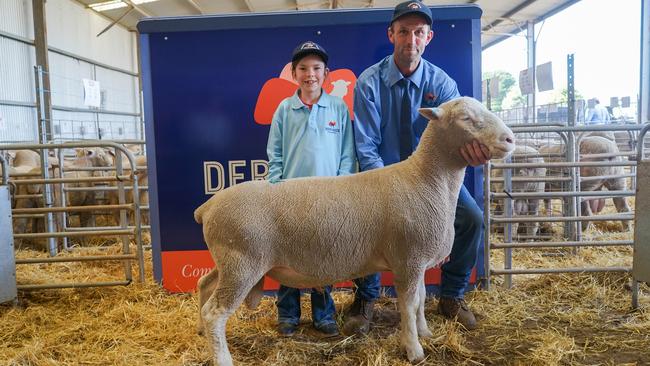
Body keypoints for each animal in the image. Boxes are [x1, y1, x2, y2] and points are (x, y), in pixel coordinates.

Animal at [192, 96, 512, 364]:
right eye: (467, 118)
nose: (510, 139)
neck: (425, 180)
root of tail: (207, 207)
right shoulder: (407, 260)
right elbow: (409, 306)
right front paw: (414, 349)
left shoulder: (416, 260)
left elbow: (421, 299)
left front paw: (425, 333)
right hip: (242, 263)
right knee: (215, 313)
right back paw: (222, 357)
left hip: (228, 260)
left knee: (204, 285)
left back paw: (199, 332)